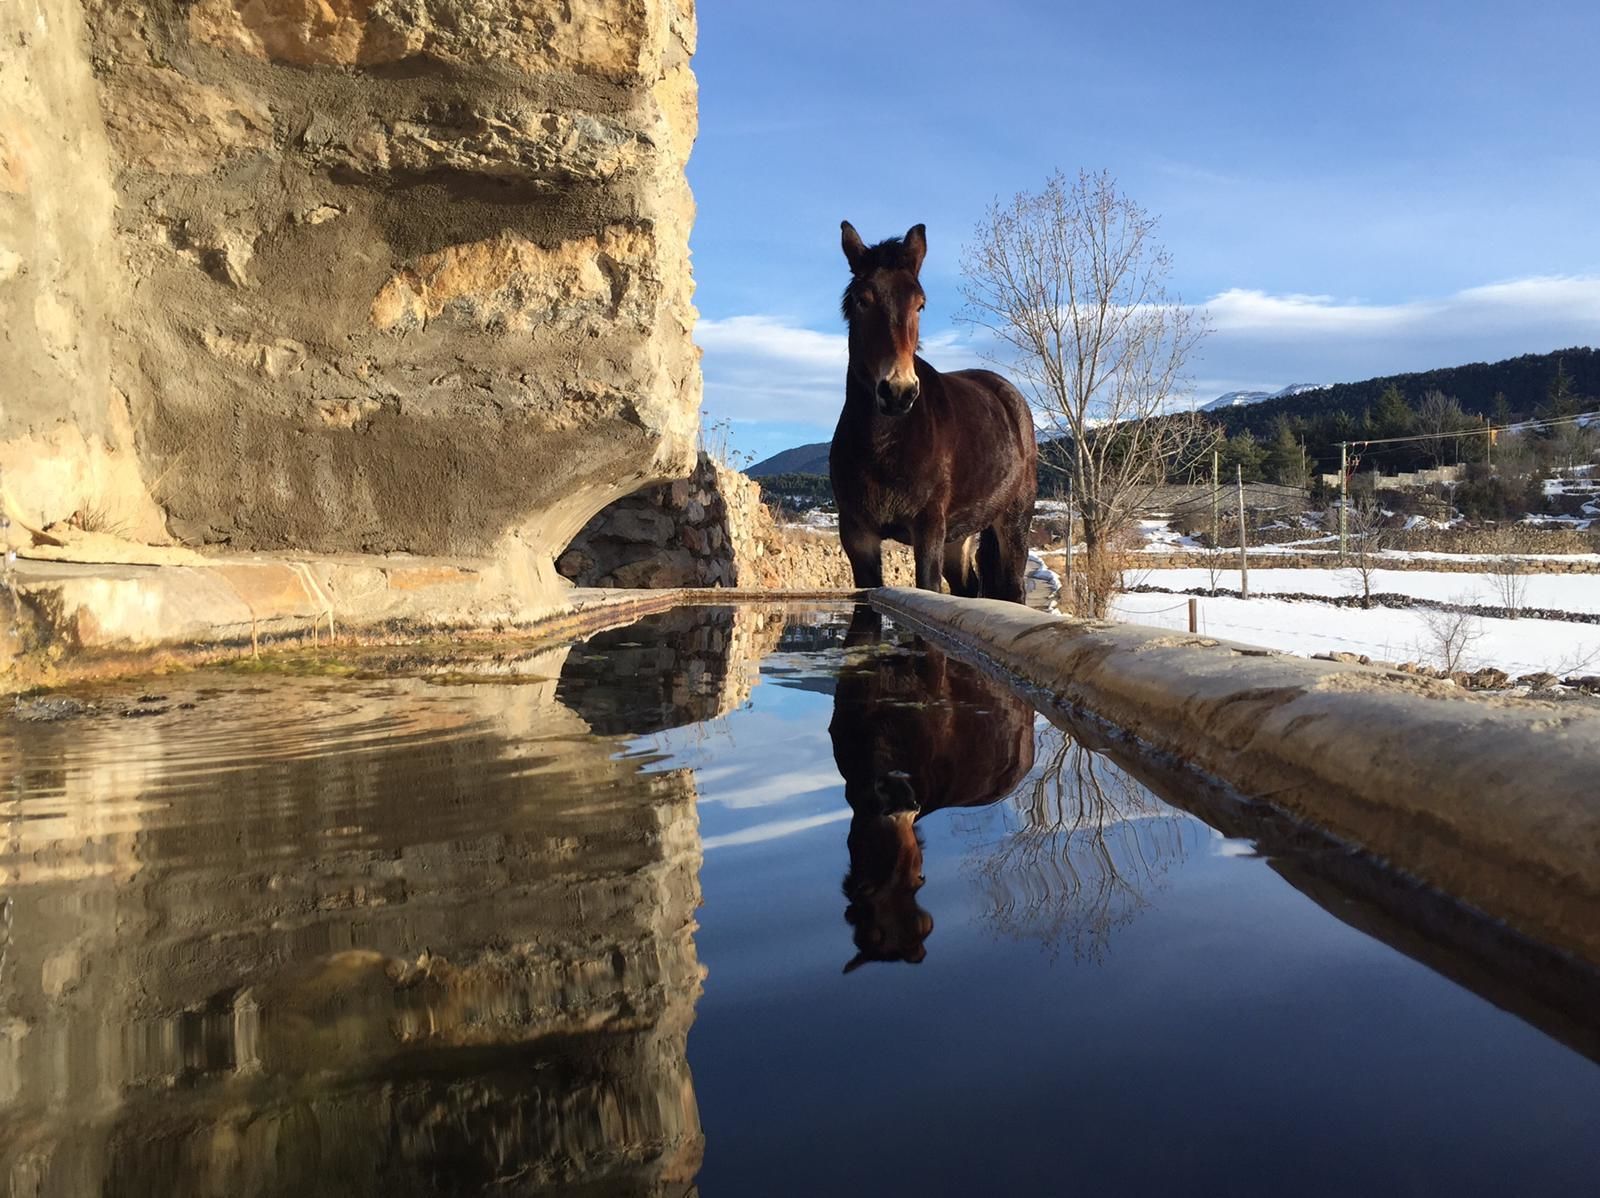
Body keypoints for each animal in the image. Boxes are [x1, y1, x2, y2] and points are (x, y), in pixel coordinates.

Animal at [830, 221, 1037, 601]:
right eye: (862, 300)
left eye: (920, 305)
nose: (898, 391)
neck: (886, 443)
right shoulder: (858, 537)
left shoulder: (928, 529)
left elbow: (928, 586)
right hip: (959, 535)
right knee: (967, 588)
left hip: (1013, 522)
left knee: (1012, 589)